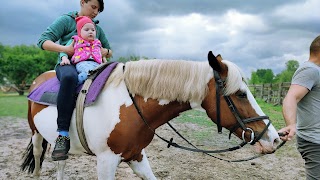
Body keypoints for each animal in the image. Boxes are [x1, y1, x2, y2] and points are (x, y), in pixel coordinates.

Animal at [20, 51, 280, 179]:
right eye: (241, 94)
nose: (274, 138)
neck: (130, 104)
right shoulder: (106, 160)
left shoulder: (136, 155)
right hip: (35, 134)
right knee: (39, 156)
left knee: (61, 163)